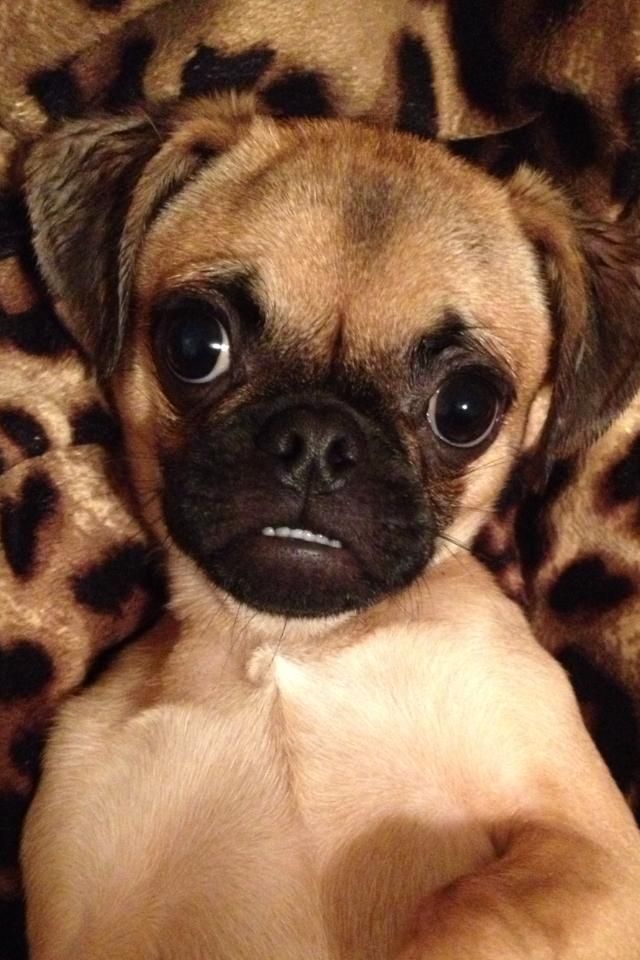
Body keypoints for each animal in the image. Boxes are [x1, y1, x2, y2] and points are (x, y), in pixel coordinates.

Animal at [18, 99, 640, 960]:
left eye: (467, 408)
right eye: (194, 344)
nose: (317, 440)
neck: (285, 645)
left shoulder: (592, 851)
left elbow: (471, 910)